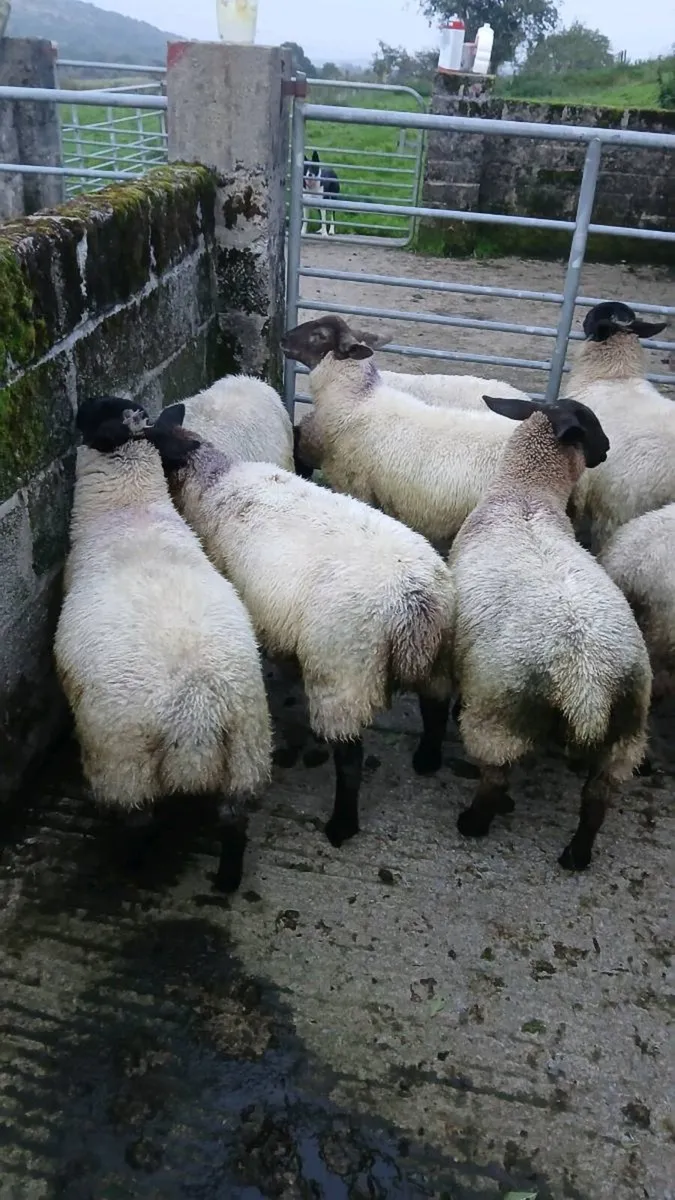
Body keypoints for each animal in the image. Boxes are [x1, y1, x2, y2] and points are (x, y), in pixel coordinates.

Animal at [54, 396, 272, 892]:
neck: (130, 510)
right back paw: (225, 882)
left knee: (140, 826)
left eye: (94, 411)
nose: (77, 407)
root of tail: (196, 711)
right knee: (234, 825)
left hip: (124, 766)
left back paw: (130, 871)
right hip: (246, 754)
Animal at [145, 403, 457, 849]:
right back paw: (427, 759)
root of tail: (415, 604)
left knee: (350, 756)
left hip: (345, 670)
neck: (212, 482)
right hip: (438, 654)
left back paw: (342, 825)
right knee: (435, 705)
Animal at [418, 392, 651, 871]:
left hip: (500, 715)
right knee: (596, 800)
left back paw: (473, 824)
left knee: (496, 780)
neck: (524, 496)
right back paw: (576, 856)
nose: (606, 450)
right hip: (625, 735)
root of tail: (587, 684)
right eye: (592, 423)